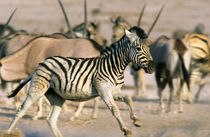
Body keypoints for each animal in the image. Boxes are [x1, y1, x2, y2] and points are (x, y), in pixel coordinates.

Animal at [6, 26, 154, 137]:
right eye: (138, 49)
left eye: (149, 49)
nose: (152, 68)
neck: (115, 67)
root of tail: (42, 63)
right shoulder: (104, 91)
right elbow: (115, 110)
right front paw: (126, 130)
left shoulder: (114, 91)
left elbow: (129, 98)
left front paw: (136, 120)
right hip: (37, 90)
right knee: (21, 110)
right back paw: (7, 131)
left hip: (57, 97)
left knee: (51, 120)